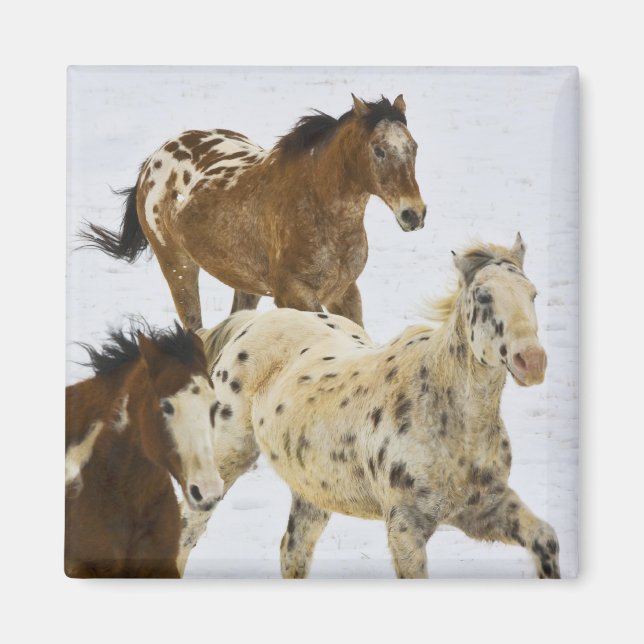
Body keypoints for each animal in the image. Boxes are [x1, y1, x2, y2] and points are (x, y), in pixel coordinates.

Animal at [80, 94, 426, 331]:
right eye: (378, 149)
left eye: (414, 147)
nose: (414, 213)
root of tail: (152, 161)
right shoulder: (295, 295)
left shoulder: (344, 292)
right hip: (178, 267)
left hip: (244, 284)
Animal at [180, 233, 560, 579]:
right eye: (483, 296)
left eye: (533, 294)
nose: (532, 361)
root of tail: (250, 322)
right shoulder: (406, 527)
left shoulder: (483, 509)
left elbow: (547, 540)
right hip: (226, 459)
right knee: (189, 529)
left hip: (313, 488)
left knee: (293, 550)